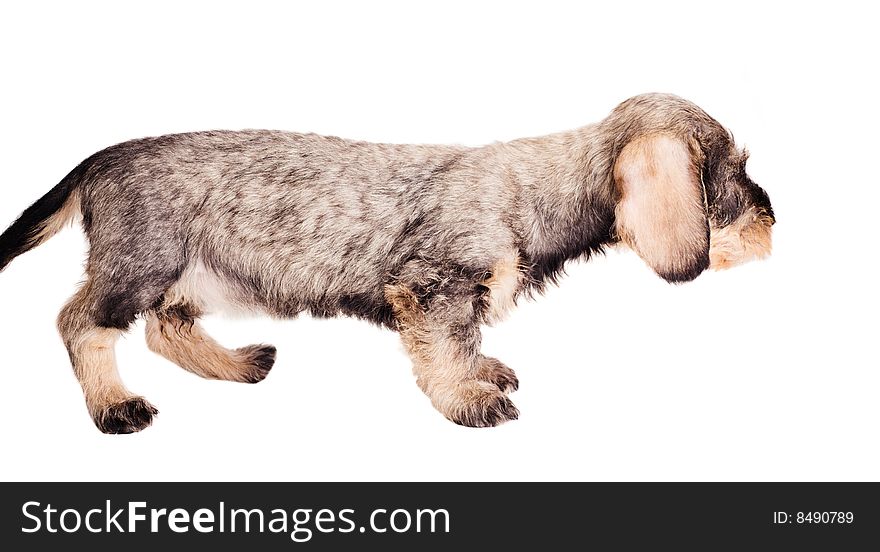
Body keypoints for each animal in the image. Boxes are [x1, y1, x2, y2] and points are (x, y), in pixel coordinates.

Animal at [0, 94, 768, 432]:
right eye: (733, 173)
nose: (773, 221)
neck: (538, 190)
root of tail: (99, 160)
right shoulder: (433, 290)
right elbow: (445, 352)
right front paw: (467, 398)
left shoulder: (457, 298)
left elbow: (467, 342)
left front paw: (482, 371)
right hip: (139, 266)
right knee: (81, 324)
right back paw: (113, 405)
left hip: (194, 272)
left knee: (167, 329)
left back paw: (237, 364)